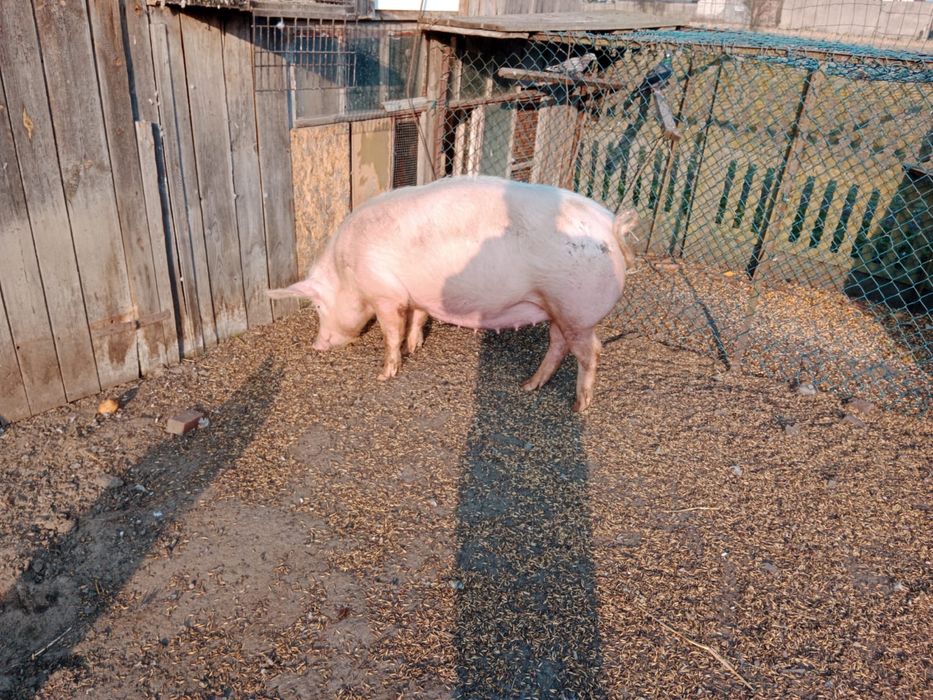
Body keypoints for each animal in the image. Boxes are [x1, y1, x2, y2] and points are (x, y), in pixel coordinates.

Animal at [268, 175, 637, 411]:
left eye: (318, 306)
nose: (316, 345)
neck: (347, 270)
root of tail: (612, 226)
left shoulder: (385, 295)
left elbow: (390, 333)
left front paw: (385, 373)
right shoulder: (415, 294)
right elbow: (417, 317)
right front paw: (415, 347)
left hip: (576, 309)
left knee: (591, 352)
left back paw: (578, 407)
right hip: (558, 310)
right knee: (558, 345)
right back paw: (529, 386)